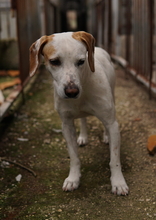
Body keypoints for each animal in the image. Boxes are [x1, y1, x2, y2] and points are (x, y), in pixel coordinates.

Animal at [29, 31, 129, 196]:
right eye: (54, 61)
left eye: (81, 61)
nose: (71, 91)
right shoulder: (66, 125)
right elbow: (74, 157)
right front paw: (73, 179)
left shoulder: (112, 123)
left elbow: (114, 159)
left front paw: (118, 182)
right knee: (83, 120)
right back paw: (83, 136)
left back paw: (106, 136)